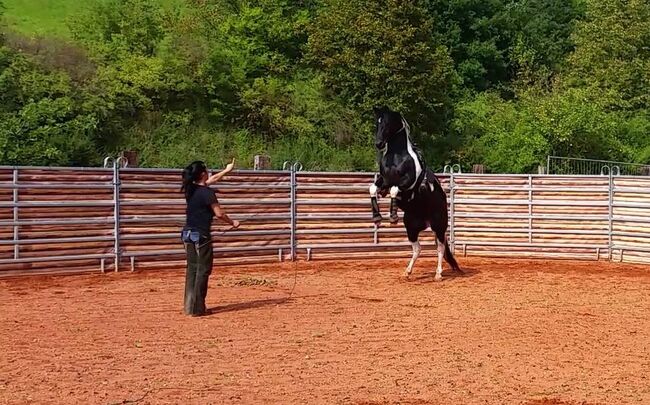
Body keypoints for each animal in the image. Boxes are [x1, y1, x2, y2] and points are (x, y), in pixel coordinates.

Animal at [370, 105, 460, 280]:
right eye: (377, 122)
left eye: (388, 123)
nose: (379, 143)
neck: (397, 157)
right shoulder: (384, 182)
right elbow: (373, 188)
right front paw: (377, 217)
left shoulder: (407, 184)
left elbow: (394, 190)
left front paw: (392, 216)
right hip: (411, 228)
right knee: (417, 248)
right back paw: (407, 271)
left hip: (439, 226)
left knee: (440, 247)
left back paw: (438, 274)